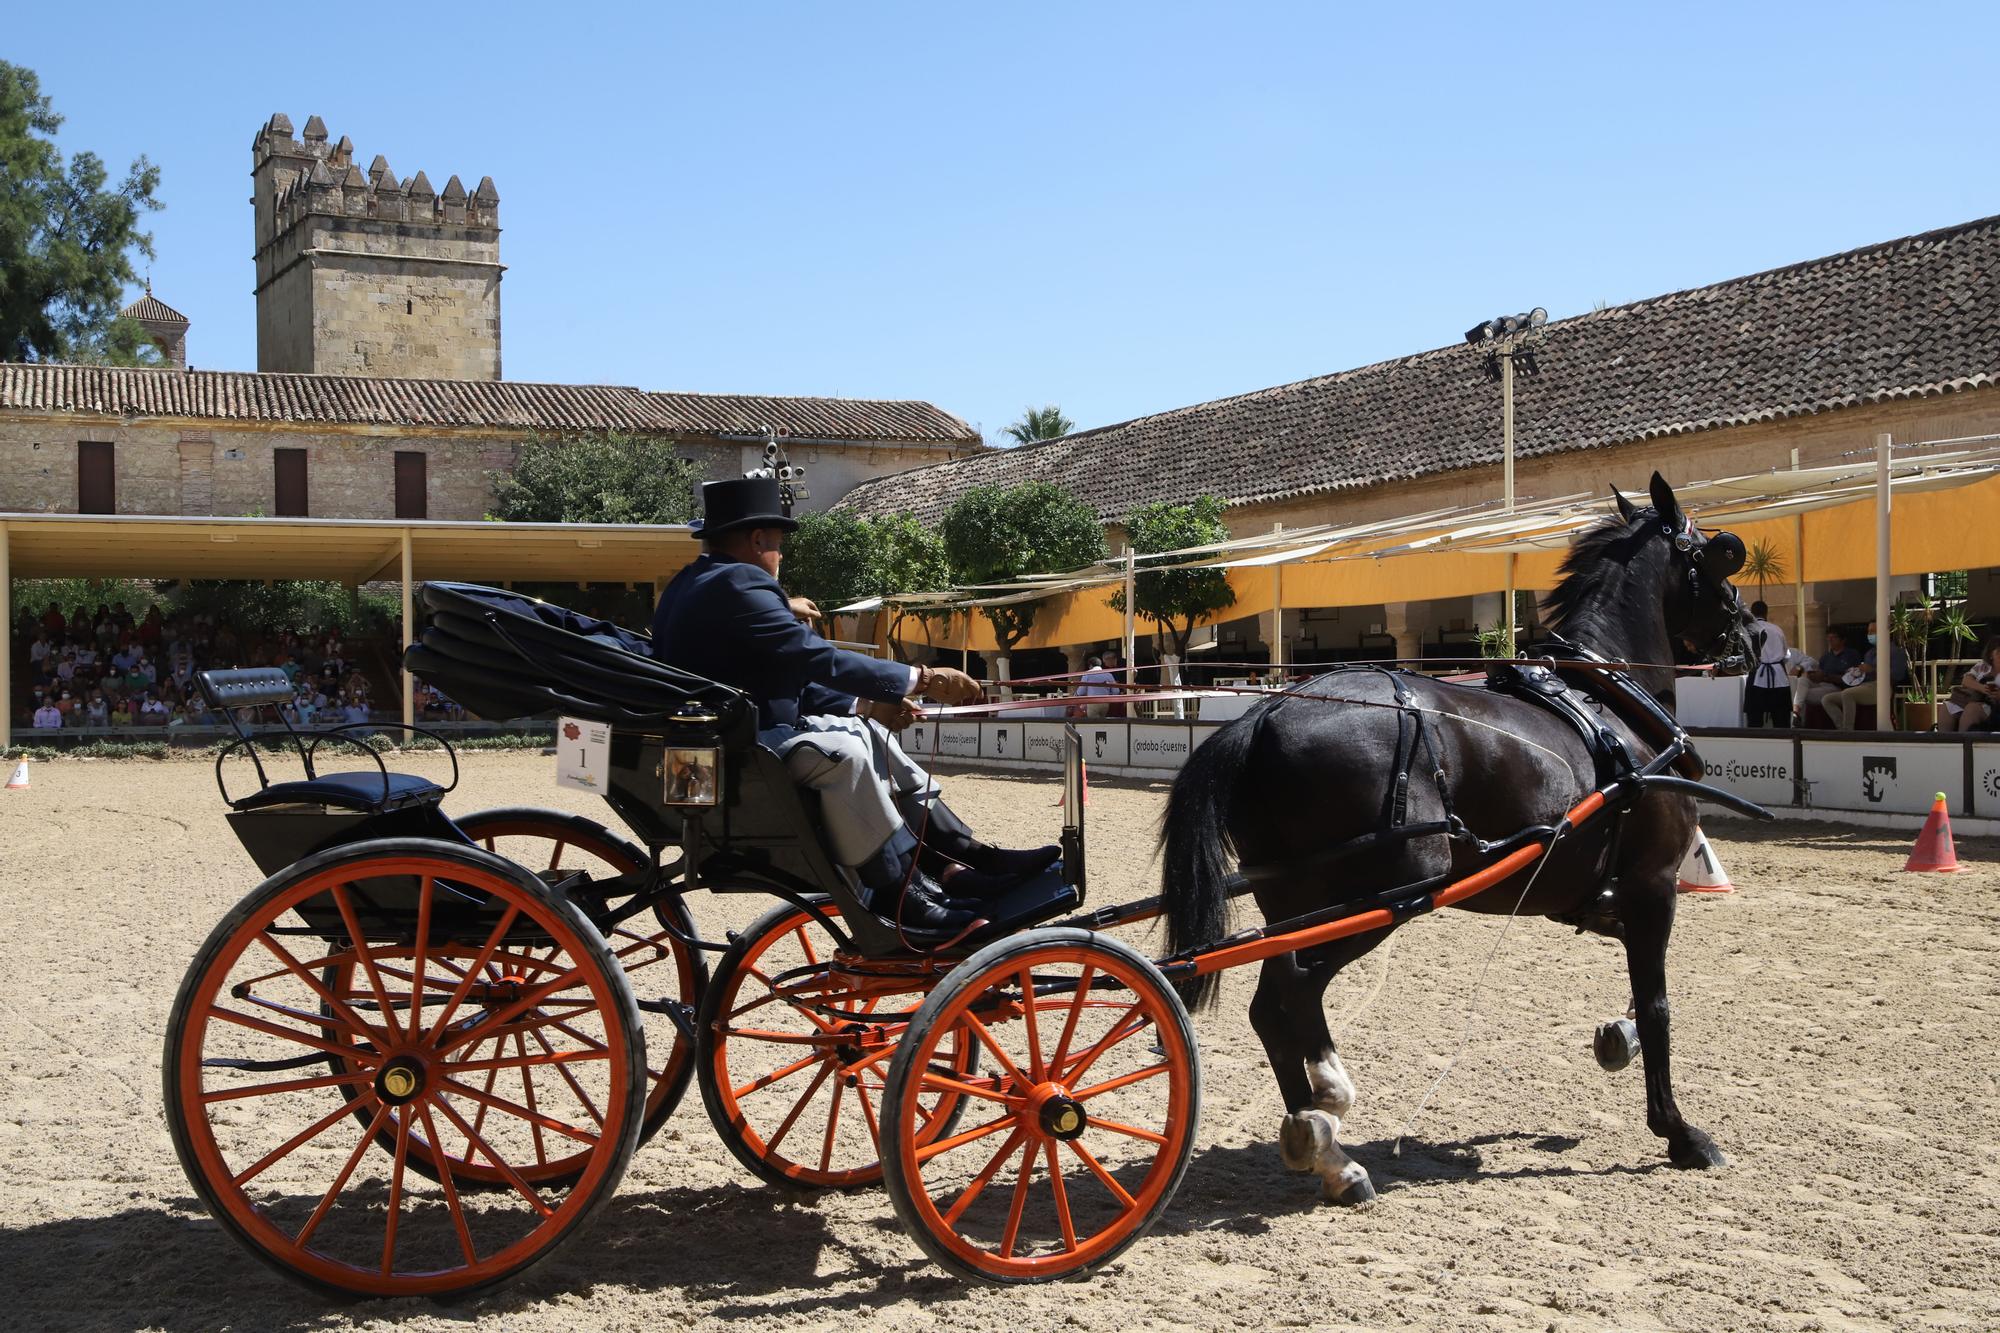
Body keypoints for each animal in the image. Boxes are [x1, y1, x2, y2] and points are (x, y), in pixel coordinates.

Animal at [1160, 472, 1752, 1200]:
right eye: (1718, 555)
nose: (1745, 632)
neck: (1611, 707)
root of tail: (1262, 717)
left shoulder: (1589, 893)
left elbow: (1640, 999)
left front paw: (1619, 1037)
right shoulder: (1653, 884)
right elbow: (1659, 1004)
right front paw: (1680, 1131)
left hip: (1296, 902)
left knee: (1276, 1001)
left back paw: (1323, 1141)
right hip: (1391, 889)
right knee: (1290, 994)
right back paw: (1328, 1122)